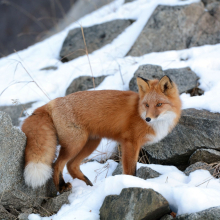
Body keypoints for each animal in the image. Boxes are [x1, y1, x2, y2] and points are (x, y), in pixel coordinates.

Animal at [21, 75, 180, 192]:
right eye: (146, 105)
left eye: (159, 104)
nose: (148, 118)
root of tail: (51, 103)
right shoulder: (129, 143)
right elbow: (130, 170)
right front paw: (131, 183)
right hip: (75, 144)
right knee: (57, 165)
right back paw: (62, 187)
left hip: (90, 143)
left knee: (71, 165)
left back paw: (87, 185)